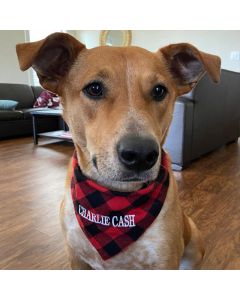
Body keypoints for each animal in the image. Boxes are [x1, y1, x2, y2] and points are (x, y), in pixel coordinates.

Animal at [15, 32, 220, 270]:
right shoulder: (76, 258)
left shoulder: (165, 261)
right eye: (94, 88)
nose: (141, 154)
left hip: (193, 241)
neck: (115, 207)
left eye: (159, 91)